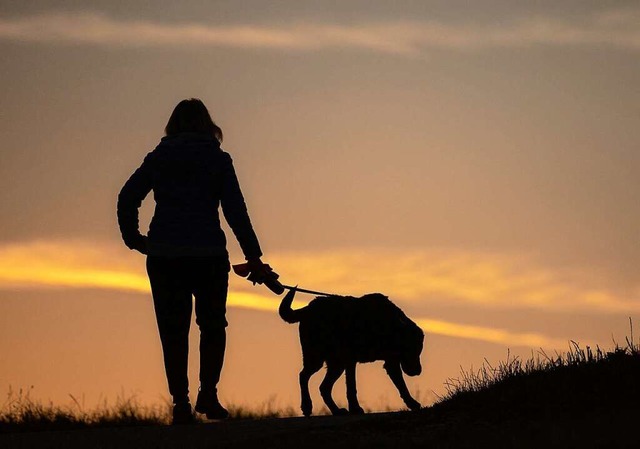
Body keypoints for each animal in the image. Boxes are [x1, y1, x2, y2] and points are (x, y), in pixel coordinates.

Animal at [278, 288, 422, 414]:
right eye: (413, 349)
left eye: (419, 350)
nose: (418, 371)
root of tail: (308, 309)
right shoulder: (351, 360)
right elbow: (352, 387)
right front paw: (355, 408)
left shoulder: (391, 362)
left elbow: (402, 386)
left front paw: (411, 403)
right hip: (316, 357)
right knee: (303, 376)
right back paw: (307, 406)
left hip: (336, 364)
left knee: (324, 387)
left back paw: (336, 411)